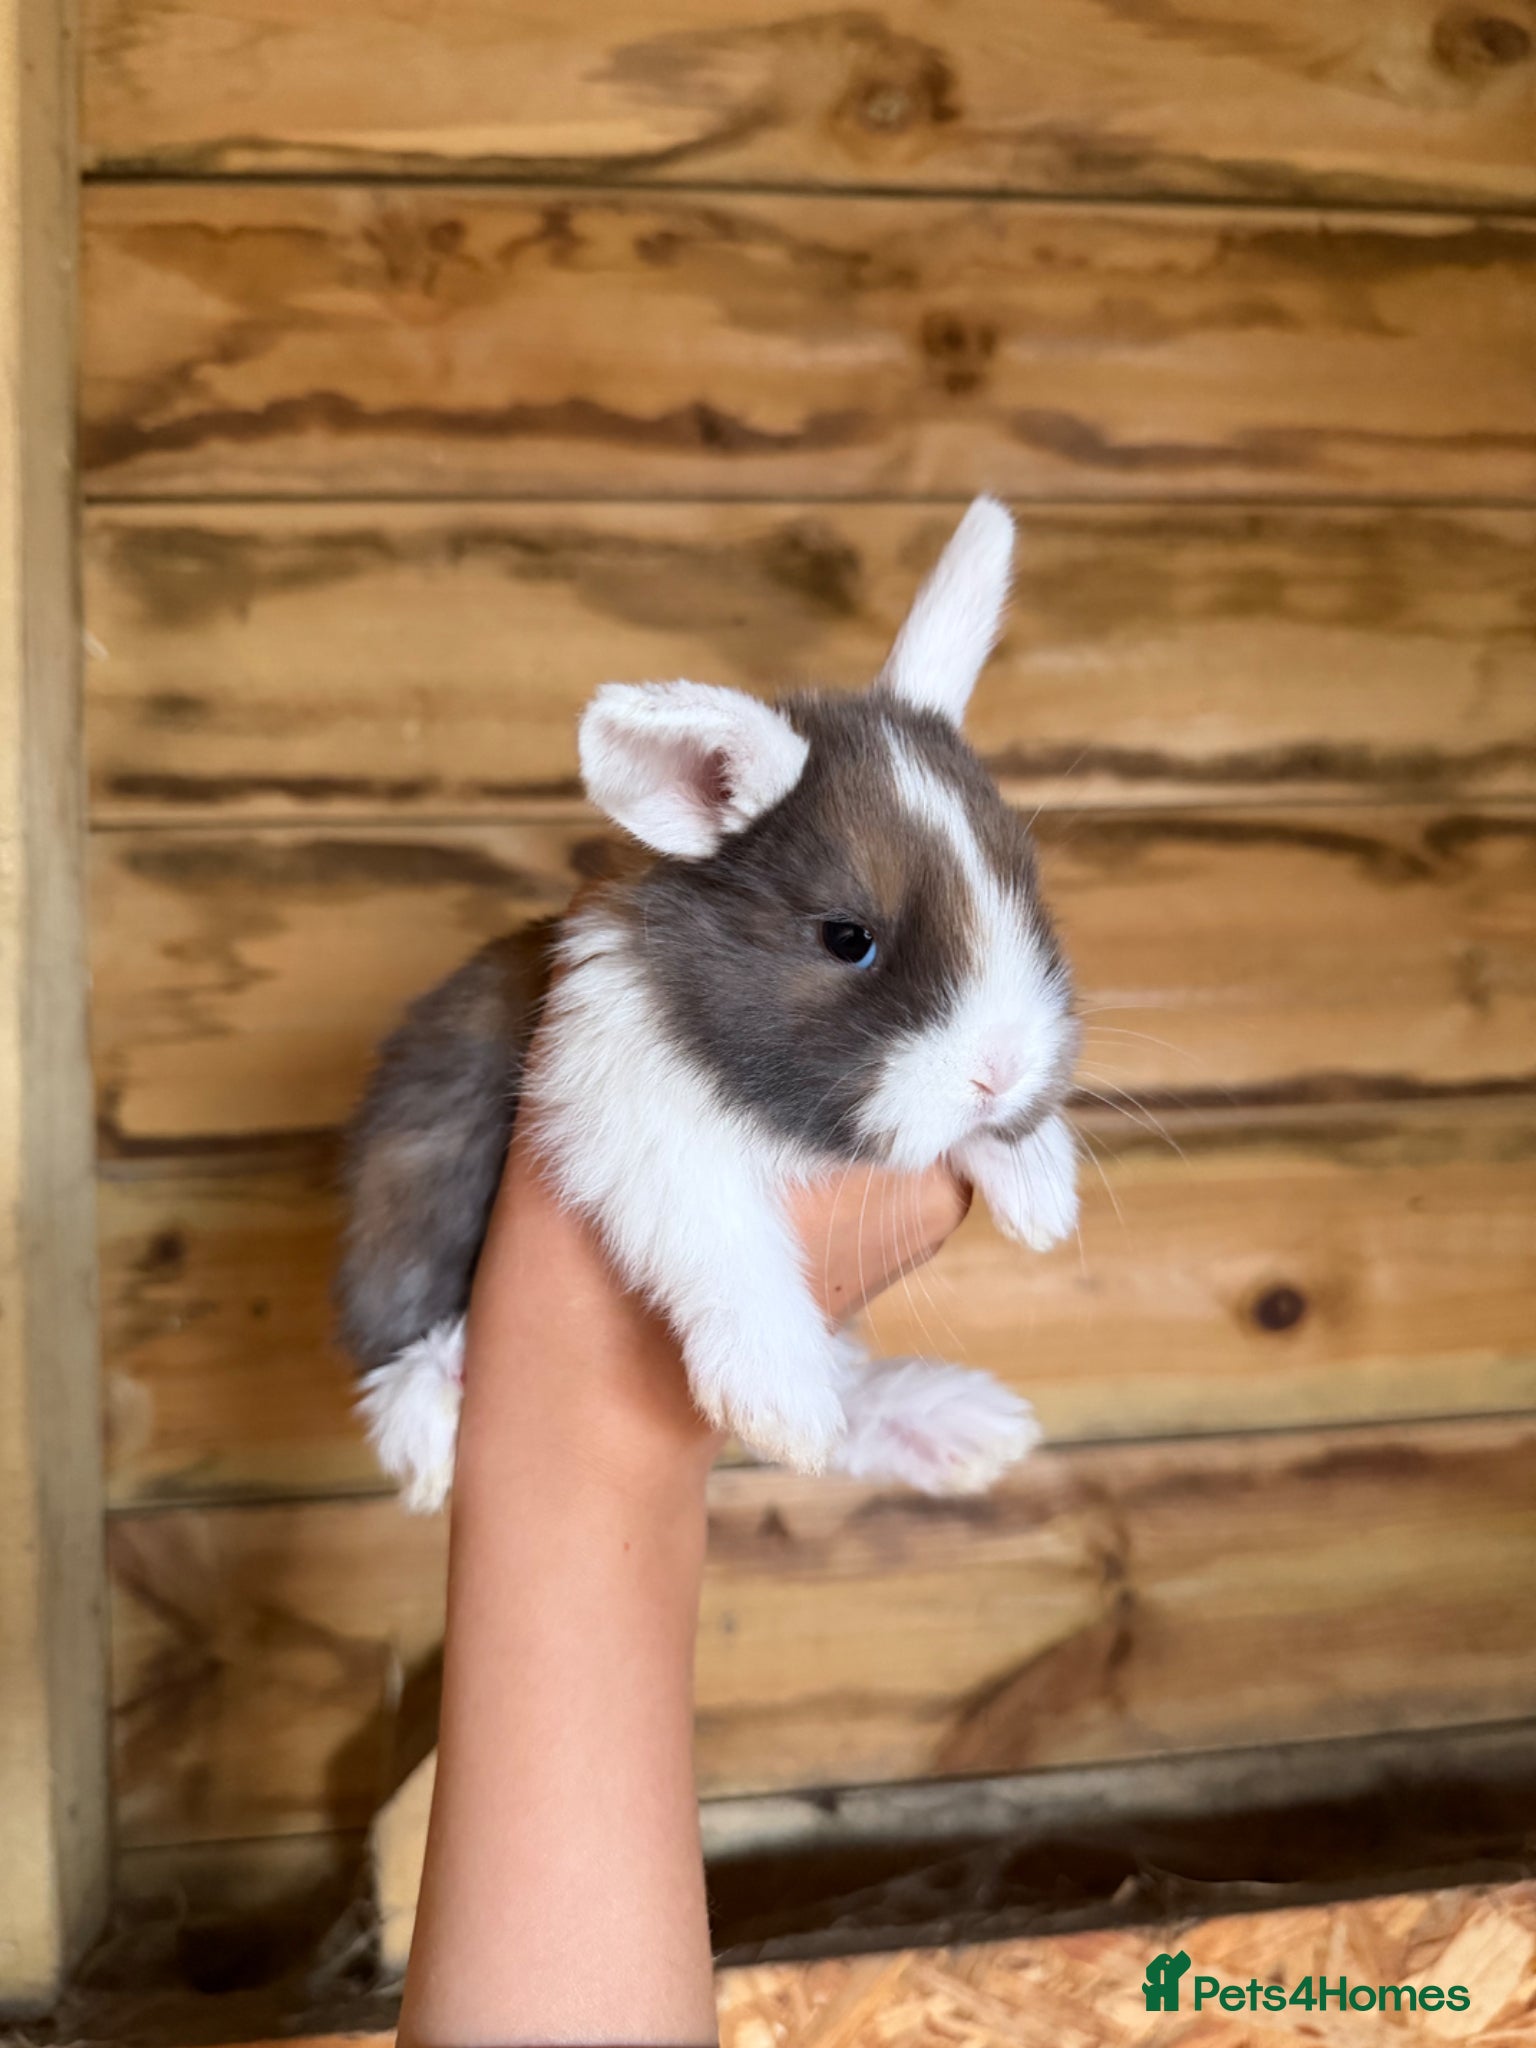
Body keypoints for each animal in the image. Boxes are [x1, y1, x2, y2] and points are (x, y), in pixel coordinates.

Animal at [337, 497, 1080, 1512]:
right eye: (847, 938)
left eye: (1025, 889)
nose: (1001, 1072)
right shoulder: (630, 1124)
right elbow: (726, 1246)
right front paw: (784, 1409)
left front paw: (1041, 1184)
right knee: (394, 1368)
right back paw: (435, 1424)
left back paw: (955, 1429)